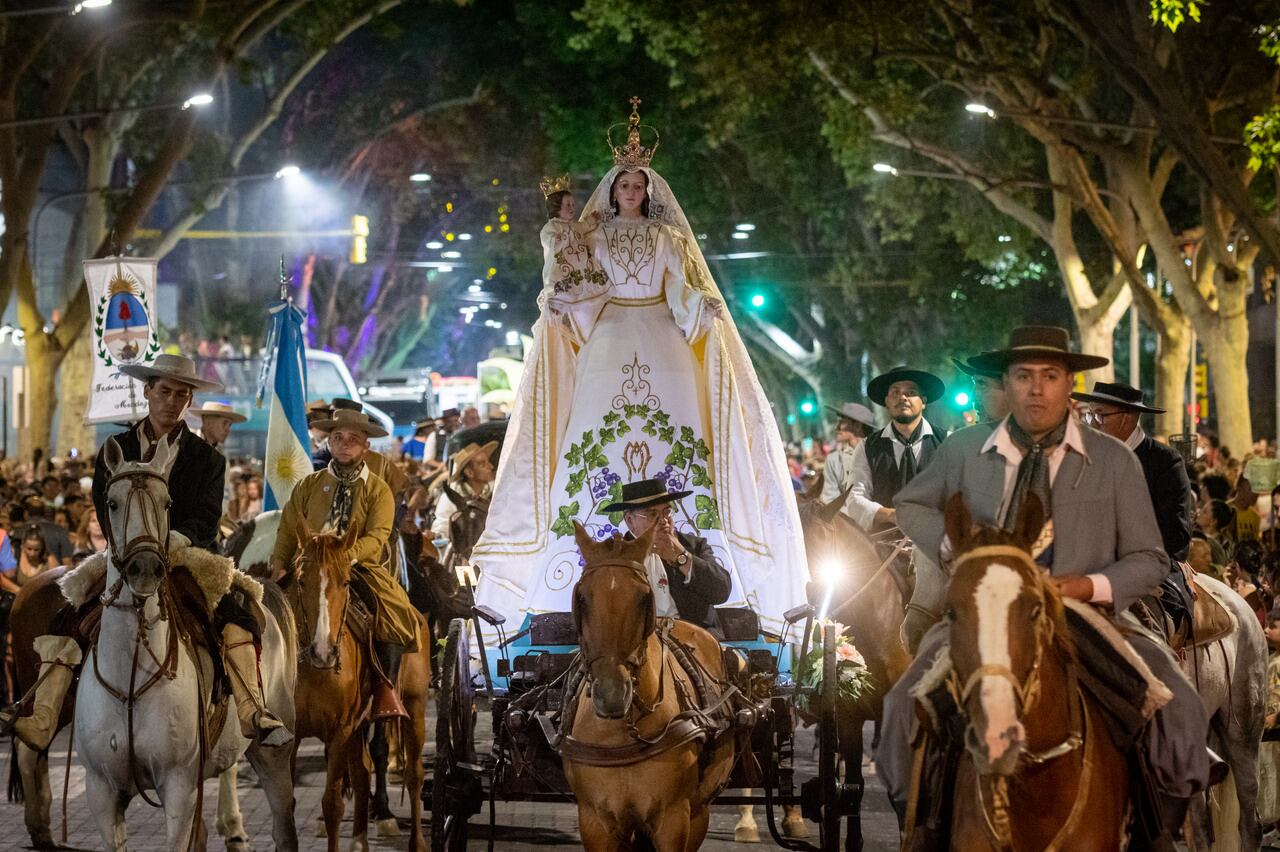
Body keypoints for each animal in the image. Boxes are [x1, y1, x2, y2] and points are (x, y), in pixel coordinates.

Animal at [76, 437, 299, 849]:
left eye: (167, 503)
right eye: (111, 502)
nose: (144, 569)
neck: (131, 674)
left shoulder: (178, 786)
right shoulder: (102, 791)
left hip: (272, 753)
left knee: (283, 824)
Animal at [288, 516, 432, 849]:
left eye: (345, 583)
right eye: (301, 581)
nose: (323, 651)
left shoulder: (340, 731)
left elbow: (332, 804)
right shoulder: (292, 734)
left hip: (414, 706)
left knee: (414, 774)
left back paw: (415, 840)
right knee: (363, 772)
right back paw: (360, 840)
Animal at [563, 516, 737, 849]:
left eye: (644, 599)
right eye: (582, 598)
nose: (612, 694)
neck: (621, 734)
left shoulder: (673, 820)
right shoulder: (595, 822)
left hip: (699, 812)